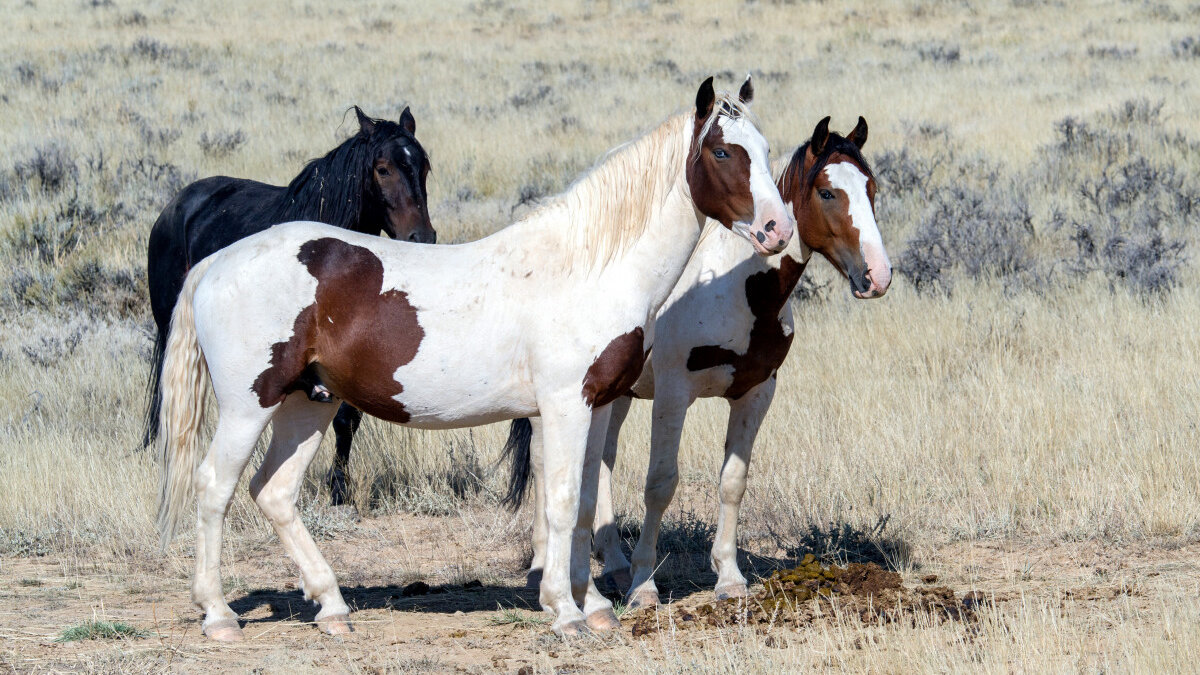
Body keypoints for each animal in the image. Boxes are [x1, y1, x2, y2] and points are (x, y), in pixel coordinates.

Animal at [144, 106, 436, 504]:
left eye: (424, 166)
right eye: (382, 168)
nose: (421, 237)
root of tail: (176, 205)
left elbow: (348, 419)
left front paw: (340, 488)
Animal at [516, 114, 892, 605]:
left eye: (871, 188)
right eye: (827, 192)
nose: (877, 276)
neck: (739, 290)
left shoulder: (757, 392)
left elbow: (733, 482)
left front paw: (729, 576)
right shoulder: (673, 395)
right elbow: (660, 484)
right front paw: (644, 584)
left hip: (614, 396)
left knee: (601, 464)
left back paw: (612, 563)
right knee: (545, 463)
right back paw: (546, 567)